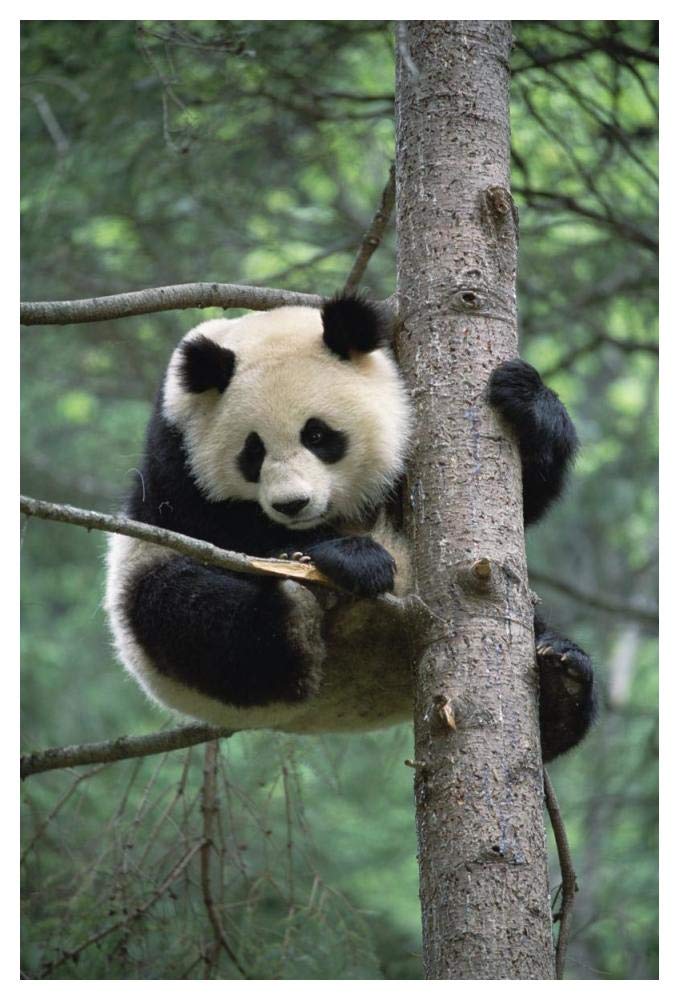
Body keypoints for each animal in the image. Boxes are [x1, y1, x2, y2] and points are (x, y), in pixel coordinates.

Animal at [105, 295, 596, 760]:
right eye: (252, 451)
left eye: (317, 435)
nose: (292, 504)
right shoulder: (176, 452)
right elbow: (215, 525)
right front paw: (352, 558)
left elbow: (524, 498)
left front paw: (524, 397)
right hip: (152, 610)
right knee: (191, 612)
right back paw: (294, 606)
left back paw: (562, 683)